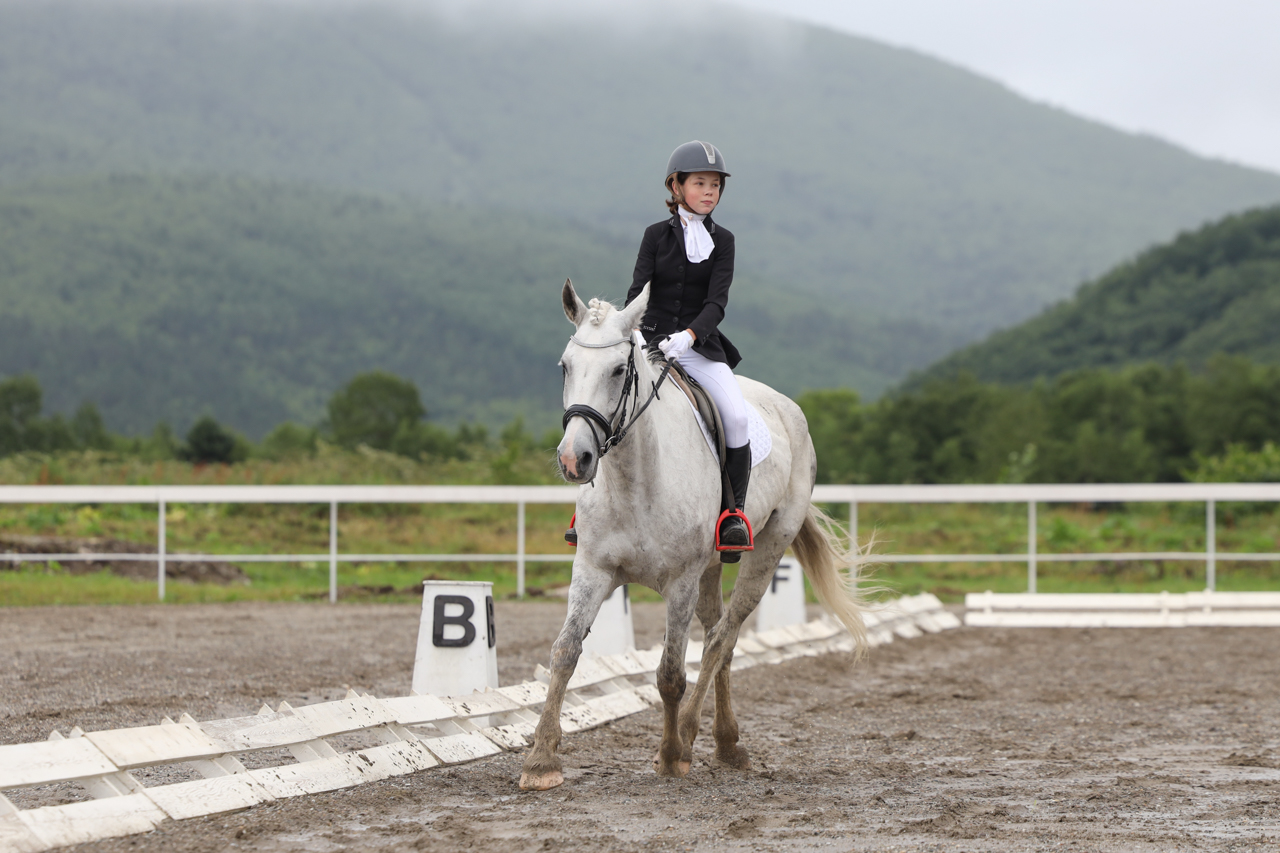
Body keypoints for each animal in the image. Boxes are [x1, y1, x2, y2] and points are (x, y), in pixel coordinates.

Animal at [517, 280, 870, 788]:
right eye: (565, 366)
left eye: (619, 369)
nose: (574, 460)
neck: (635, 480)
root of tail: (788, 407)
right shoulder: (592, 569)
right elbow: (565, 651)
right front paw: (542, 760)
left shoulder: (679, 581)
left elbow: (669, 673)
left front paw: (670, 755)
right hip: (710, 569)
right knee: (720, 635)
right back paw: (726, 743)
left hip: (767, 550)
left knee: (723, 636)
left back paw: (690, 734)